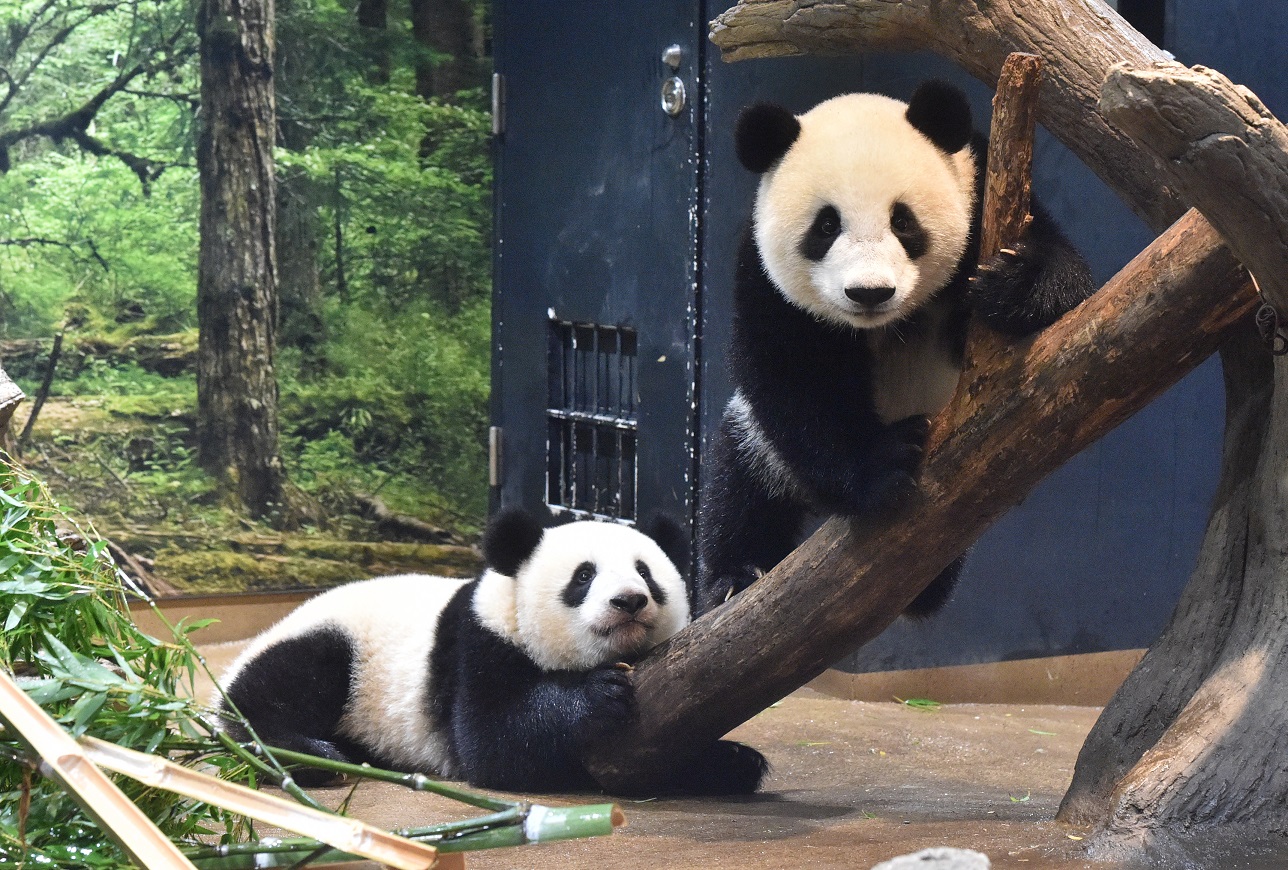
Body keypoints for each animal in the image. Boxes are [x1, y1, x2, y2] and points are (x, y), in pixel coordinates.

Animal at [216, 507, 768, 795]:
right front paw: (598, 695)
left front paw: (732, 760)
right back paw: (306, 752)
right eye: (583, 576)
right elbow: (495, 740)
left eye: (645, 573)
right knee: (285, 683)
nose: (629, 601)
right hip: (339, 645)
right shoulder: (480, 643)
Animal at [695, 80, 1094, 616]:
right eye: (826, 227)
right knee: (740, 482)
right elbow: (794, 375)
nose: (869, 293)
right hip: (766, 450)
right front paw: (884, 463)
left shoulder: (983, 193)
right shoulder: (763, 275)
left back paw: (929, 584)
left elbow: (1067, 281)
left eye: (903, 221)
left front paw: (1014, 286)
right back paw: (735, 575)